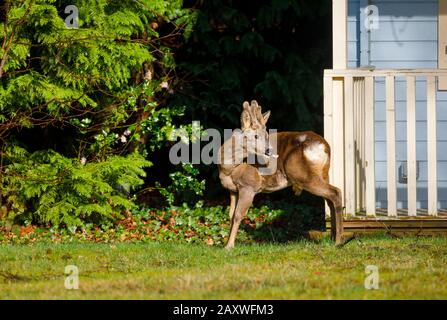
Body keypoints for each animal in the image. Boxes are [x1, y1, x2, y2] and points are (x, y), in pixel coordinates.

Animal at [219, 100, 344, 248]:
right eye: (255, 135)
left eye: (266, 135)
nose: (269, 151)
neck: (228, 169)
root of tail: (325, 146)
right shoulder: (233, 190)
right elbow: (231, 215)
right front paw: (227, 243)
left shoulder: (249, 186)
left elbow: (238, 215)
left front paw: (229, 246)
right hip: (324, 174)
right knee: (330, 200)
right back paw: (333, 238)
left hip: (302, 175)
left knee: (335, 192)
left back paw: (338, 241)